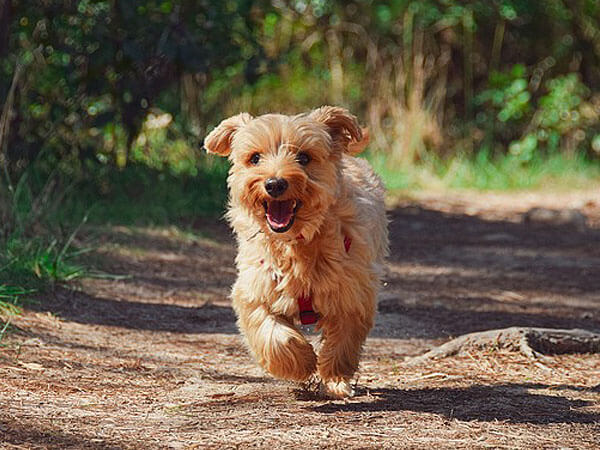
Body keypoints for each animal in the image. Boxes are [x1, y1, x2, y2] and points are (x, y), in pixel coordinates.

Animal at [205, 105, 390, 398]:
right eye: (255, 158)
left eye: (304, 157)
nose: (274, 184)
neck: (296, 244)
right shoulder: (255, 290)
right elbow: (272, 334)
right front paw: (301, 362)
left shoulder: (352, 293)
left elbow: (343, 341)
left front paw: (335, 378)